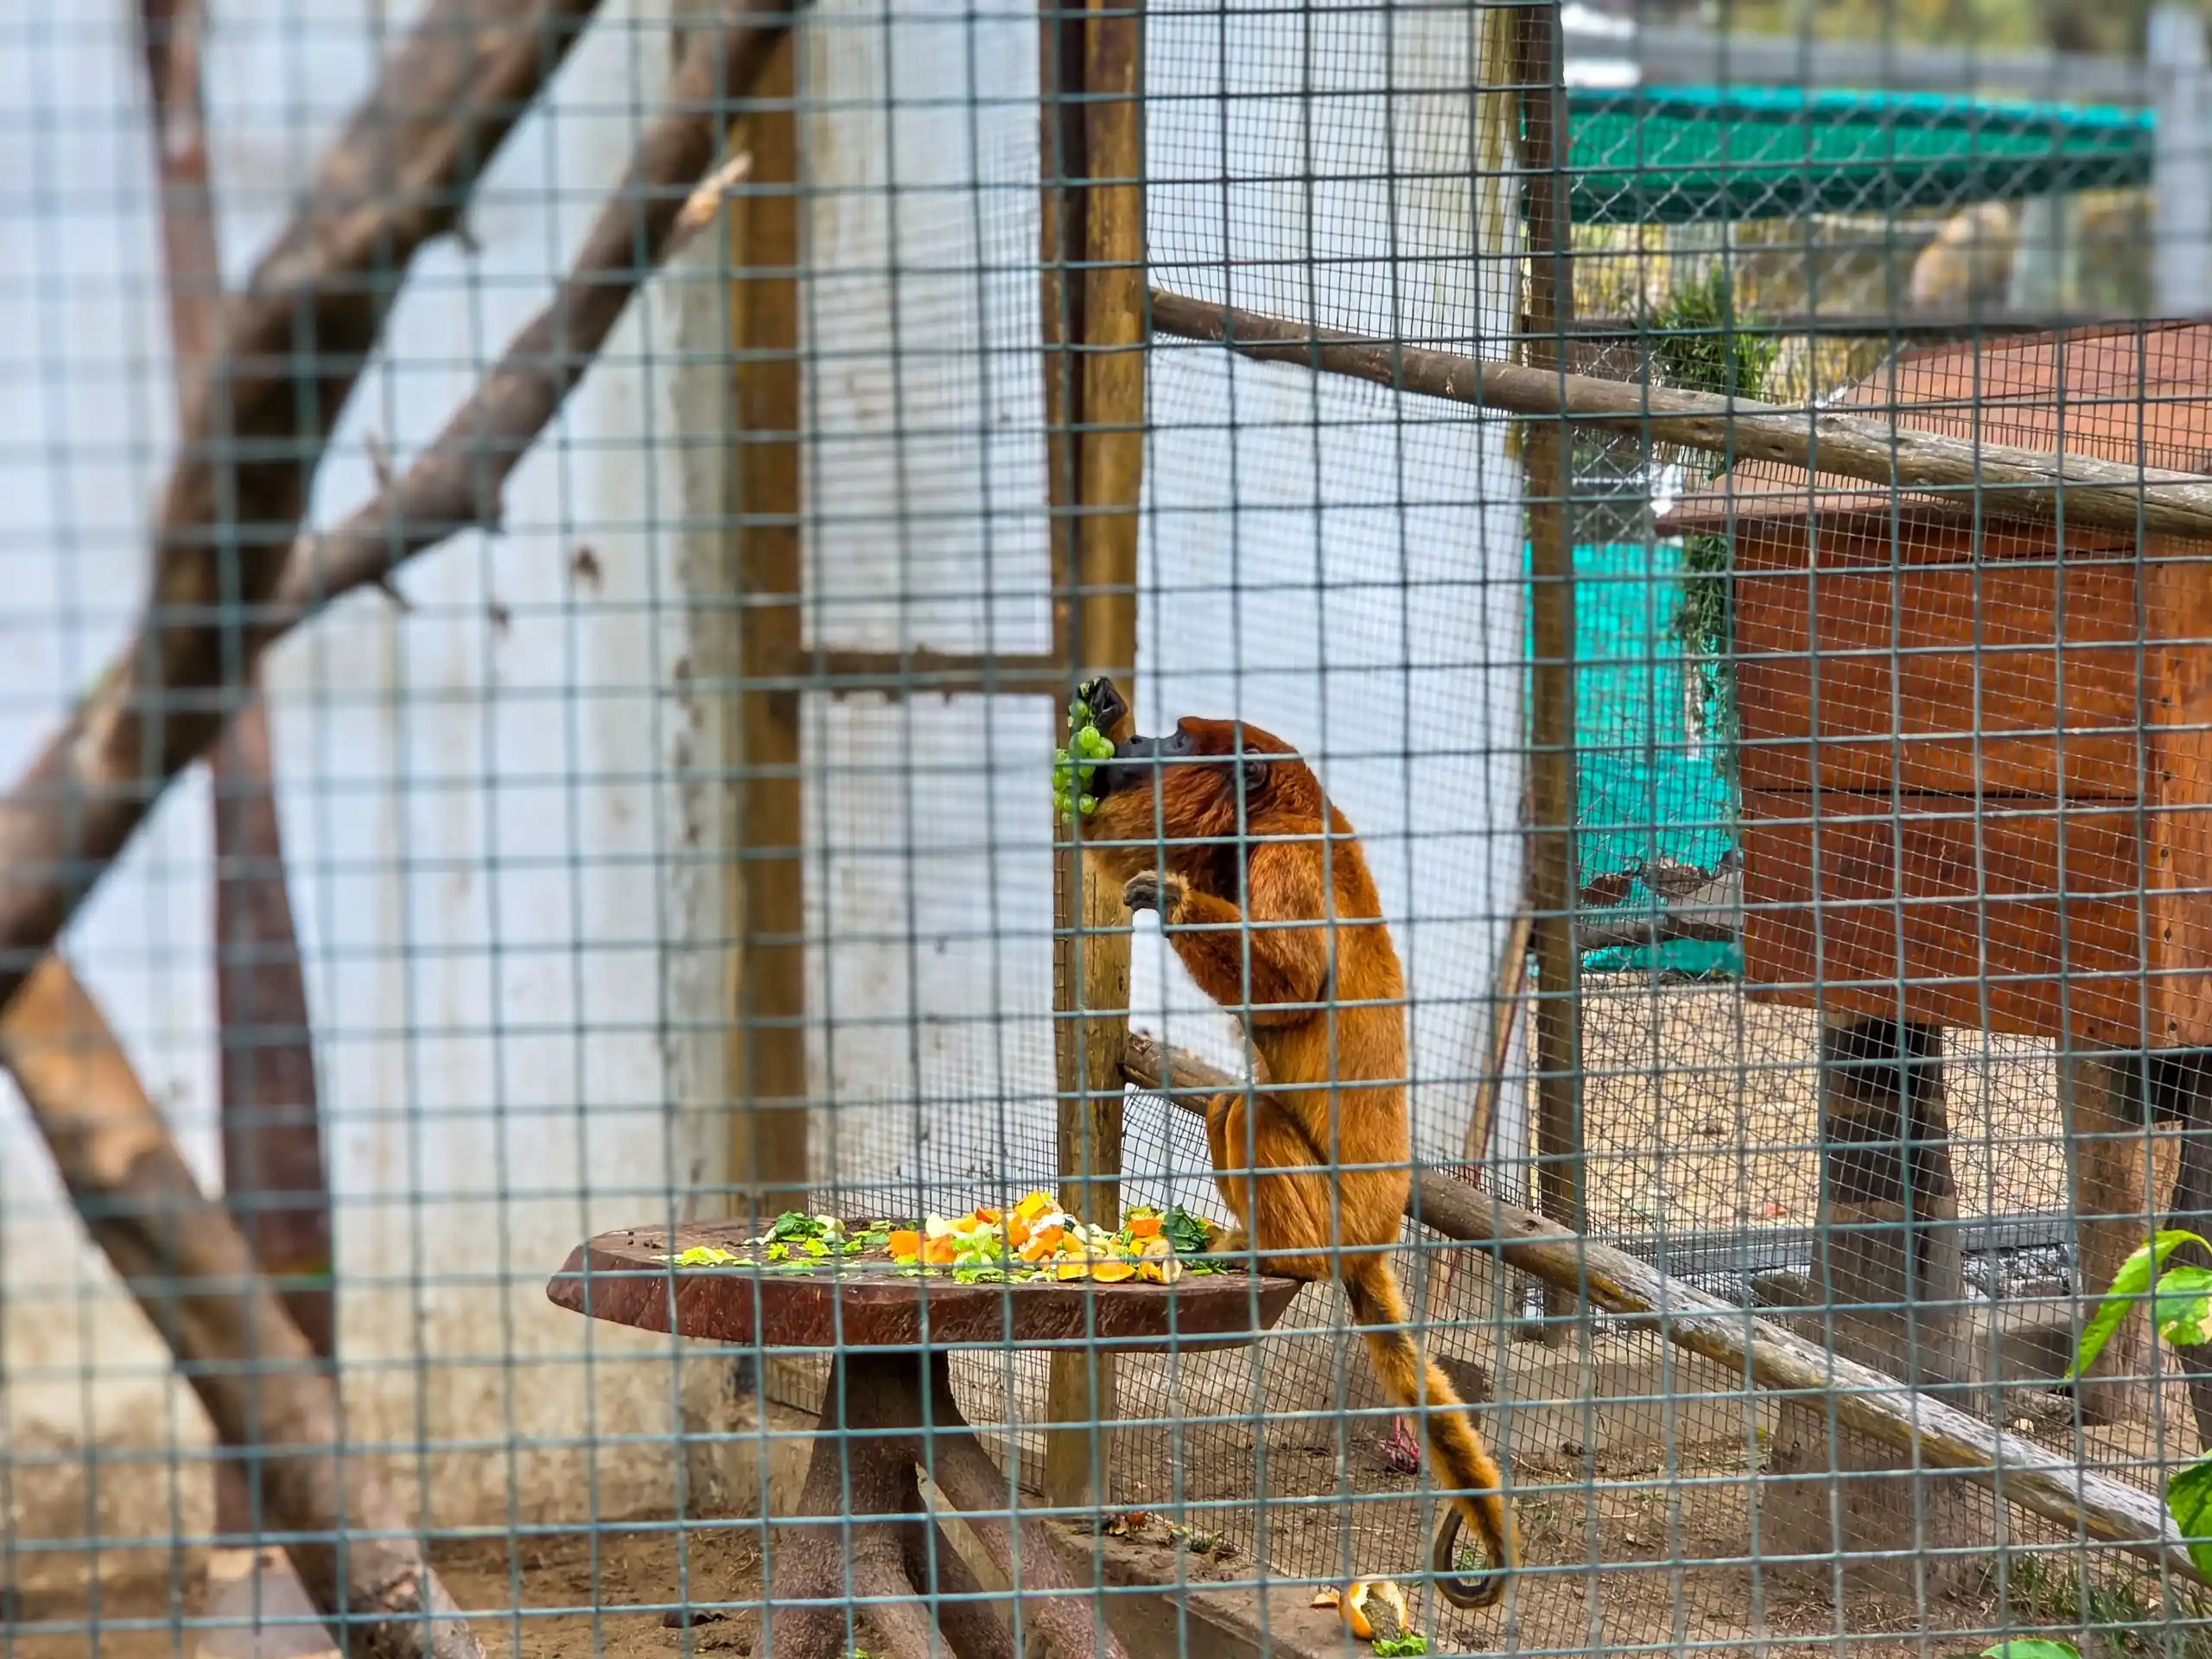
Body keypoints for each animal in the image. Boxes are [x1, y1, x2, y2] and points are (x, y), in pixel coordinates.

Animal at [1074, 677, 1516, 1609]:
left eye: (1178, 742)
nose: (1144, 742)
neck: (1279, 805)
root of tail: (1374, 1234)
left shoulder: (1286, 857)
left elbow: (1289, 983)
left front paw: (1173, 901)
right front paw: (1099, 722)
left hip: (1336, 1208)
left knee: (1248, 1114)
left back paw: (1288, 1260)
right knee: (1227, 1108)